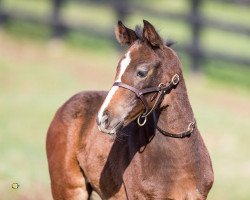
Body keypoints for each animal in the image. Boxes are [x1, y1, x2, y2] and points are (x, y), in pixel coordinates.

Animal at [46, 20, 213, 200]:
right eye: (118, 69)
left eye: (142, 72)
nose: (103, 118)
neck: (181, 163)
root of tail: (65, 106)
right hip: (69, 187)